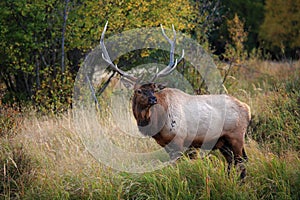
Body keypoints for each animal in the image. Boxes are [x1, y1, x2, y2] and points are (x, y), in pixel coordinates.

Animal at [99, 22, 251, 180]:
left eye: (154, 89)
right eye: (138, 91)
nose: (153, 99)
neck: (156, 123)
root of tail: (248, 109)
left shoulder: (179, 140)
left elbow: (176, 166)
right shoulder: (166, 144)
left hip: (236, 136)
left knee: (242, 161)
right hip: (223, 142)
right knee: (232, 161)